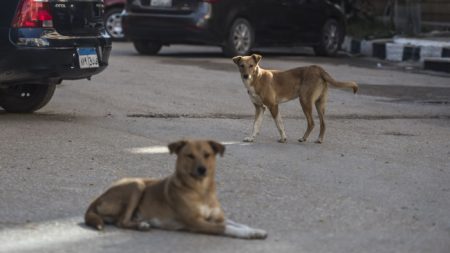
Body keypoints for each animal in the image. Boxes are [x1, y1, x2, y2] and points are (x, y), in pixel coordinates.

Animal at [84, 139, 268, 240]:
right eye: (190, 155)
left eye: (207, 155)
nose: (202, 169)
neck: (201, 191)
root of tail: (96, 199)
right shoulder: (195, 222)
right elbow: (227, 228)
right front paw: (247, 234)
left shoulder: (217, 218)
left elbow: (238, 224)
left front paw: (255, 231)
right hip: (137, 184)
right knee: (121, 221)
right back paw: (141, 225)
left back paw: (141, 224)